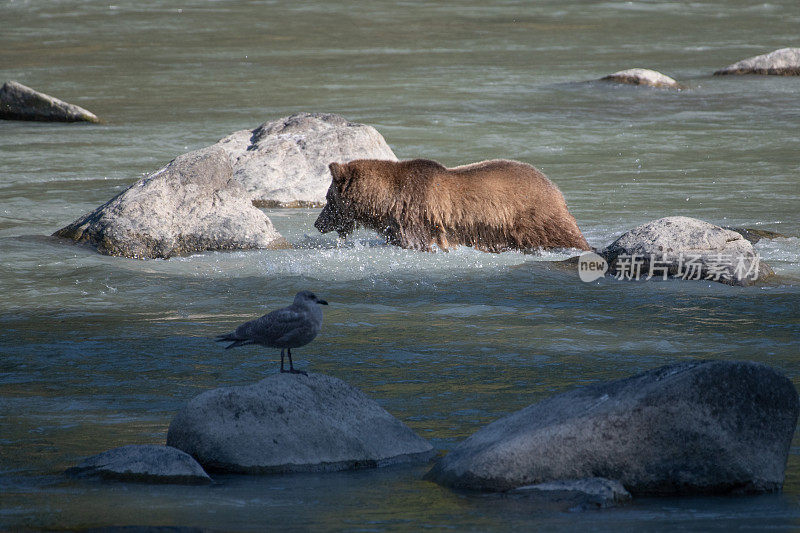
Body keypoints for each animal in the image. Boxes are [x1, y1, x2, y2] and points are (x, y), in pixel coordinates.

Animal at [312, 158, 588, 251]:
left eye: (327, 199)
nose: (317, 224)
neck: (386, 203)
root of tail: (555, 188)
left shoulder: (416, 218)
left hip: (534, 217)